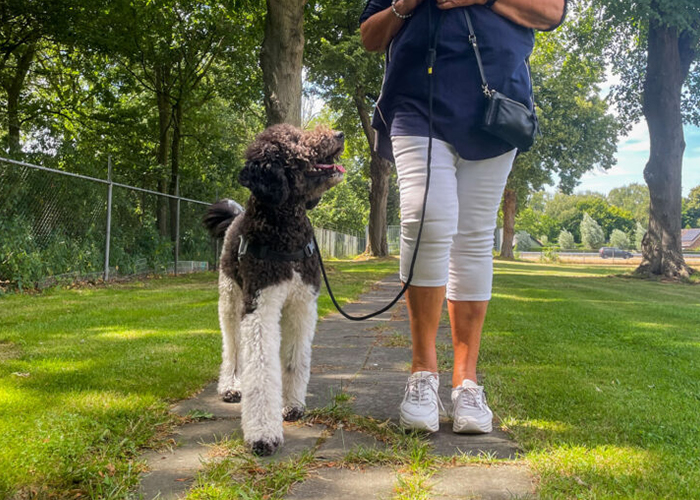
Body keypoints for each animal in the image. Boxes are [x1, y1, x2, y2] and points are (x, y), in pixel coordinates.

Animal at [202, 123, 344, 456]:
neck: (285, 231)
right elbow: (261, 370)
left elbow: (294, 359)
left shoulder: (302, 306)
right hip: (231, 300)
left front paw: (292, 405)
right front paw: (263, 433)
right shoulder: (260, 308)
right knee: (233, 348)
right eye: (295, 141)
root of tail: (236, 216)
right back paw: (231, 386)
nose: (340, 134)